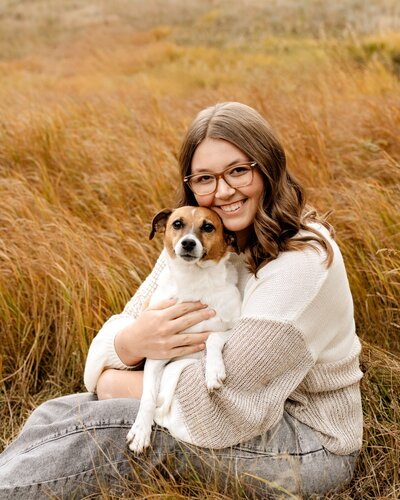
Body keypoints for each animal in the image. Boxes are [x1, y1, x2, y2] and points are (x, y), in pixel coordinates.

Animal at [126, 206, 242, 454]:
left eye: (208, 226)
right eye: (177, 224)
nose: (188, 243)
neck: (194, 280)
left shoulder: (234, 325)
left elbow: (213, 337)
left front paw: (213, 370)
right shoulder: (157, 355)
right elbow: (148, 397)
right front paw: (141, 430)